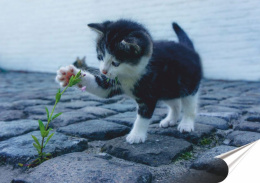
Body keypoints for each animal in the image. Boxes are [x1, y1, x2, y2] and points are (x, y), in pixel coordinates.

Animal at [55, 19, 202, 144]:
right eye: (100, 56)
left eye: (115, 63)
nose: (103, 71)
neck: (131, 74)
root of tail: (188, 48)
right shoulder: (112, 82)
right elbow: (100, 88)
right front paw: (70, 75)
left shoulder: (148, 94)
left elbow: (143, 116)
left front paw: (136, 135)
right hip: (168, 89)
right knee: (175, 103)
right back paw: (170, 119)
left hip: (188, 85)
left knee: (189, 105)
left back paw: (186, 124)